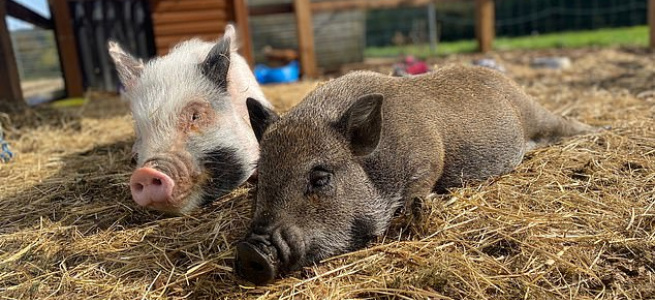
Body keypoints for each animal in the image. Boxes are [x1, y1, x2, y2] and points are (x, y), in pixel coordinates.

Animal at [236, 65, 600, 284]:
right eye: (261, 178)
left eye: (320, 177)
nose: (251, 251)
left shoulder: (430, 155)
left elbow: (421, 188)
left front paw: (421, 213)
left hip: (538, 114)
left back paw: (601, 130)